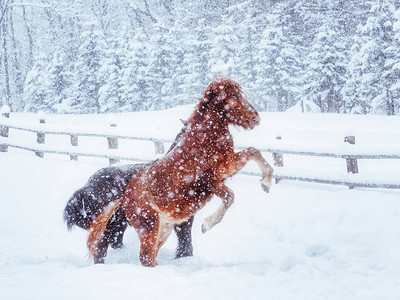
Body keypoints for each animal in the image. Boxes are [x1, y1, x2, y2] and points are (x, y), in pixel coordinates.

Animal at [64, 122, 194, 262]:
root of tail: (85, 190)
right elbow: (184, 234)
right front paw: (184, 256)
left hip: (117, 224)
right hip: (107, 227)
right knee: (101, 250)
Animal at [88, 78, 274, 266]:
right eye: (233, 97)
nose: (255, 118)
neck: (203, 141)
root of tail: (124, 198)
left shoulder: (226, 167)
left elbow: (253, 152)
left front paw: (266, 184)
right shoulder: (209, 182)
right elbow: (230, 197)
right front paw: (206, 225)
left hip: (163, 229)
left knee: (149, 256)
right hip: (149, 228)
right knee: (144, 257)